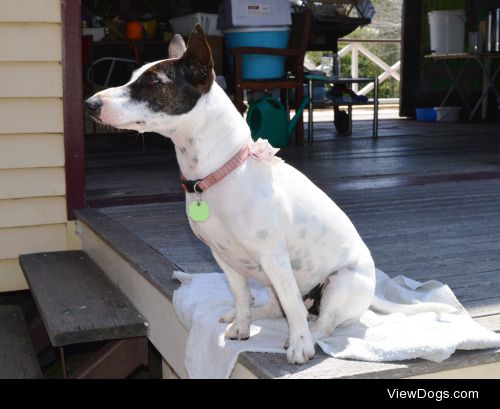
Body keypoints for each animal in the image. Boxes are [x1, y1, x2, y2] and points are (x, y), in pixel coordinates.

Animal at [86, 25, 454, 364]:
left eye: (153, 82)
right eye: (132, 77)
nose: (90, 103)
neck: (221, 171)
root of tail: (372, 286)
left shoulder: (274, 258)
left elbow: (291, 306)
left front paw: (300, 346)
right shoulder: (224, 258)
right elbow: (241, 295)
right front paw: (241, 325)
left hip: (340, 283)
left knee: (319, 319)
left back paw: (309, 335)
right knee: (277, 306)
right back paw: (250, 316)